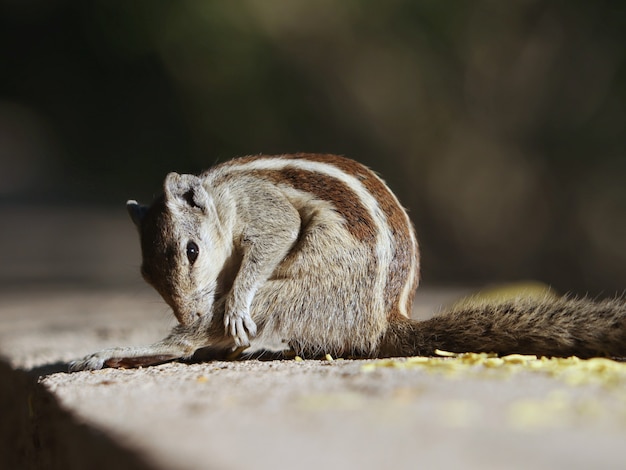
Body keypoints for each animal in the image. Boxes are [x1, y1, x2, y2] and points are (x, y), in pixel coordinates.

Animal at [69, 154, 624, 370]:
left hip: (298, 291)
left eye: (191, 251)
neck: (222, 199)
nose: (186, 311)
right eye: (146, 274)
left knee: (207, 338)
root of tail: (383, 321)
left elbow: (275, 237)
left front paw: (237, 295)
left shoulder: (262, 207)